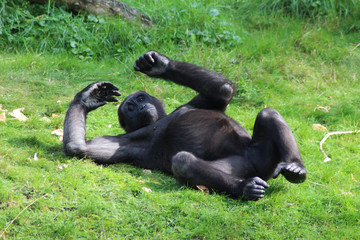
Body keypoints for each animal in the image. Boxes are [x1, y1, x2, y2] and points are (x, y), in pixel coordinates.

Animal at [62, 50, 306, 201]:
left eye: (140, 98)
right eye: (130, 108)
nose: (139, 106)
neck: (158, 120)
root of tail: (264, 171)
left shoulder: (195, 103)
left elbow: (223, 90)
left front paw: (161, 65)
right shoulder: (123, 142)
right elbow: (80, 148)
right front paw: (85, 99)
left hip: (265, 157)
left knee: (267, 113)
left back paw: (295, 167)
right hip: (243, 167)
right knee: (184, 162)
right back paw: (244, 188)